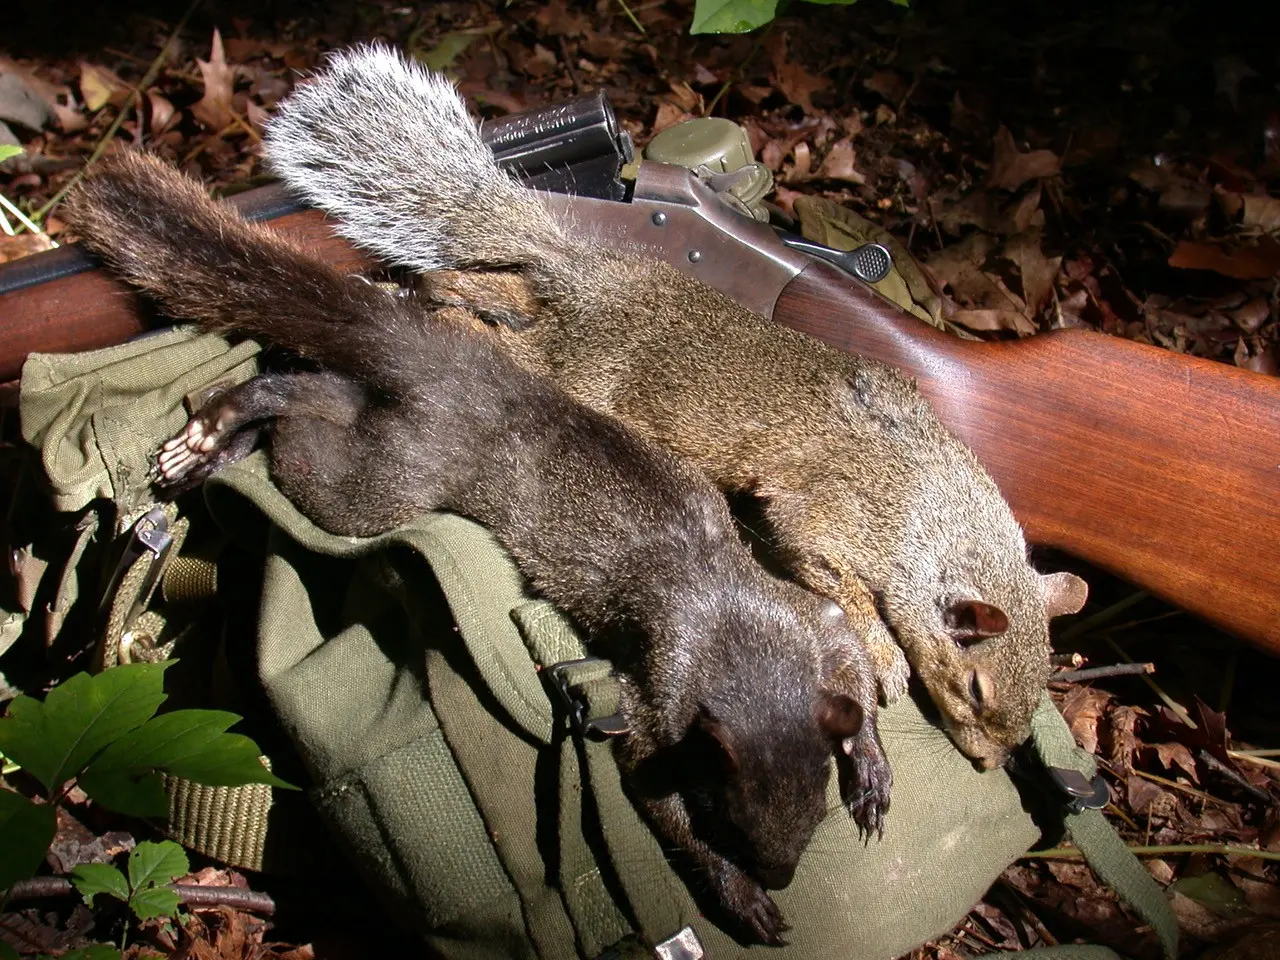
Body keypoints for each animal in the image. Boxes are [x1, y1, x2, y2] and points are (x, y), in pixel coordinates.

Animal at [67, 150, 890, 947]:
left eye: (812, 808)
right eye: (733, 812)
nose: (783, 875)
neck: (742, 639)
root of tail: (459, 370)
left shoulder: (798, 619)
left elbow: (846, 646)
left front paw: (871, 770)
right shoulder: (658, 700)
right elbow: (658, 800)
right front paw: (744, 897)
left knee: (314, 386)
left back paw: (219, 432)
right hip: (380, 479)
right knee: (297, 423)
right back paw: (220, 429)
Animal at [262, 47, 1090, 773]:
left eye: (1035, 690)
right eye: (975, 686)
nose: (989, 762)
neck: (931, 505)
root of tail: (589, 272)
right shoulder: (829, 512)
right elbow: (834, 575)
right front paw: (885, 656)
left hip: (543, 319)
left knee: (496, 287)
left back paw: (439, 290)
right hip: (570, 366)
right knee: (505, 329)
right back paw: (432, 307)